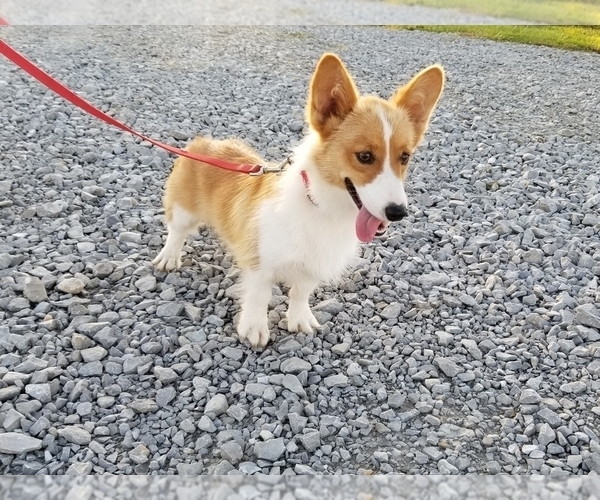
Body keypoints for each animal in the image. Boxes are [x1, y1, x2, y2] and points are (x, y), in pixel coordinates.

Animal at [154, 51, 446, 348]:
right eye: (364, 156)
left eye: (405, 157)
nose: (398, 212)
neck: (323, 209)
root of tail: (204, 142)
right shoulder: (260, 263)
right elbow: (259, 295)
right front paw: (254, 329)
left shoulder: (312, 266)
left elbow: (300, 293)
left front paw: (299, 320)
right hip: (183, 209)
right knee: (176, 231)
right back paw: (168, 258)